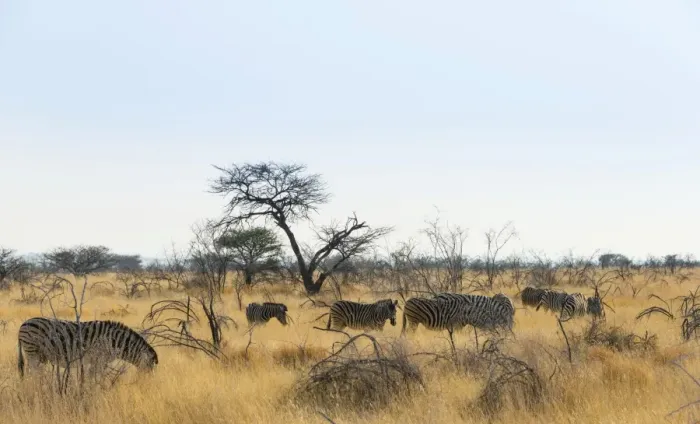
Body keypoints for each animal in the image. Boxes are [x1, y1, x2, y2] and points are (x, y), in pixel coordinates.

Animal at [17, 317, 158, 378]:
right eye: (149, 369)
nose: (146, 387)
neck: (115, 341)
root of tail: (23, 323)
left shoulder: (98, 361)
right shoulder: (99, 359)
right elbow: (95, 377)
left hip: (38, 355)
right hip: (32, 352)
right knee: (33, 373)